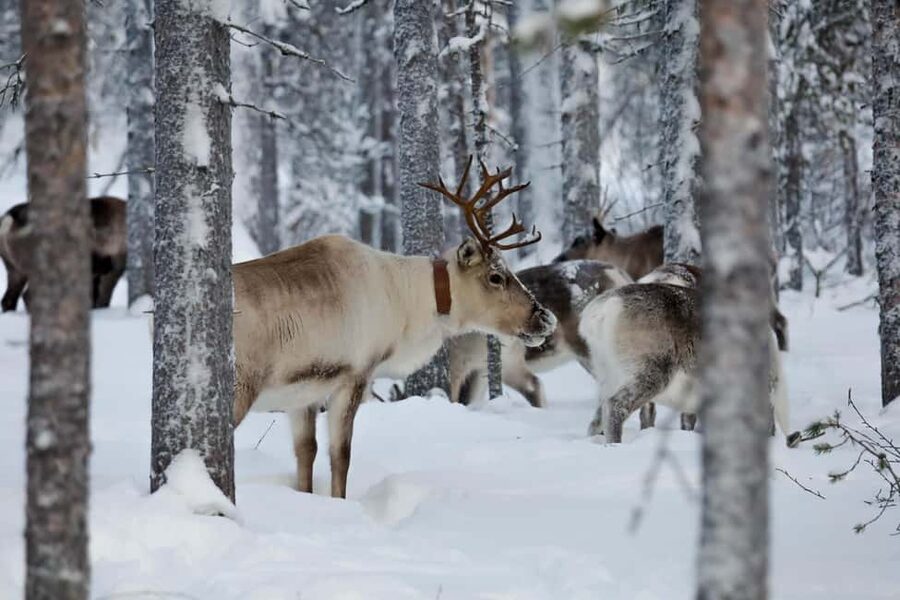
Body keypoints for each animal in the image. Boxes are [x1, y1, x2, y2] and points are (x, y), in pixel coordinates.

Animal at [232, 158, 557, 499]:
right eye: (496, 276)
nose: (545, 317)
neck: (406, 304)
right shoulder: (356, 375)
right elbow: (341, 455)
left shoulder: (304, 393)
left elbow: (306, 454)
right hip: (241, 388)